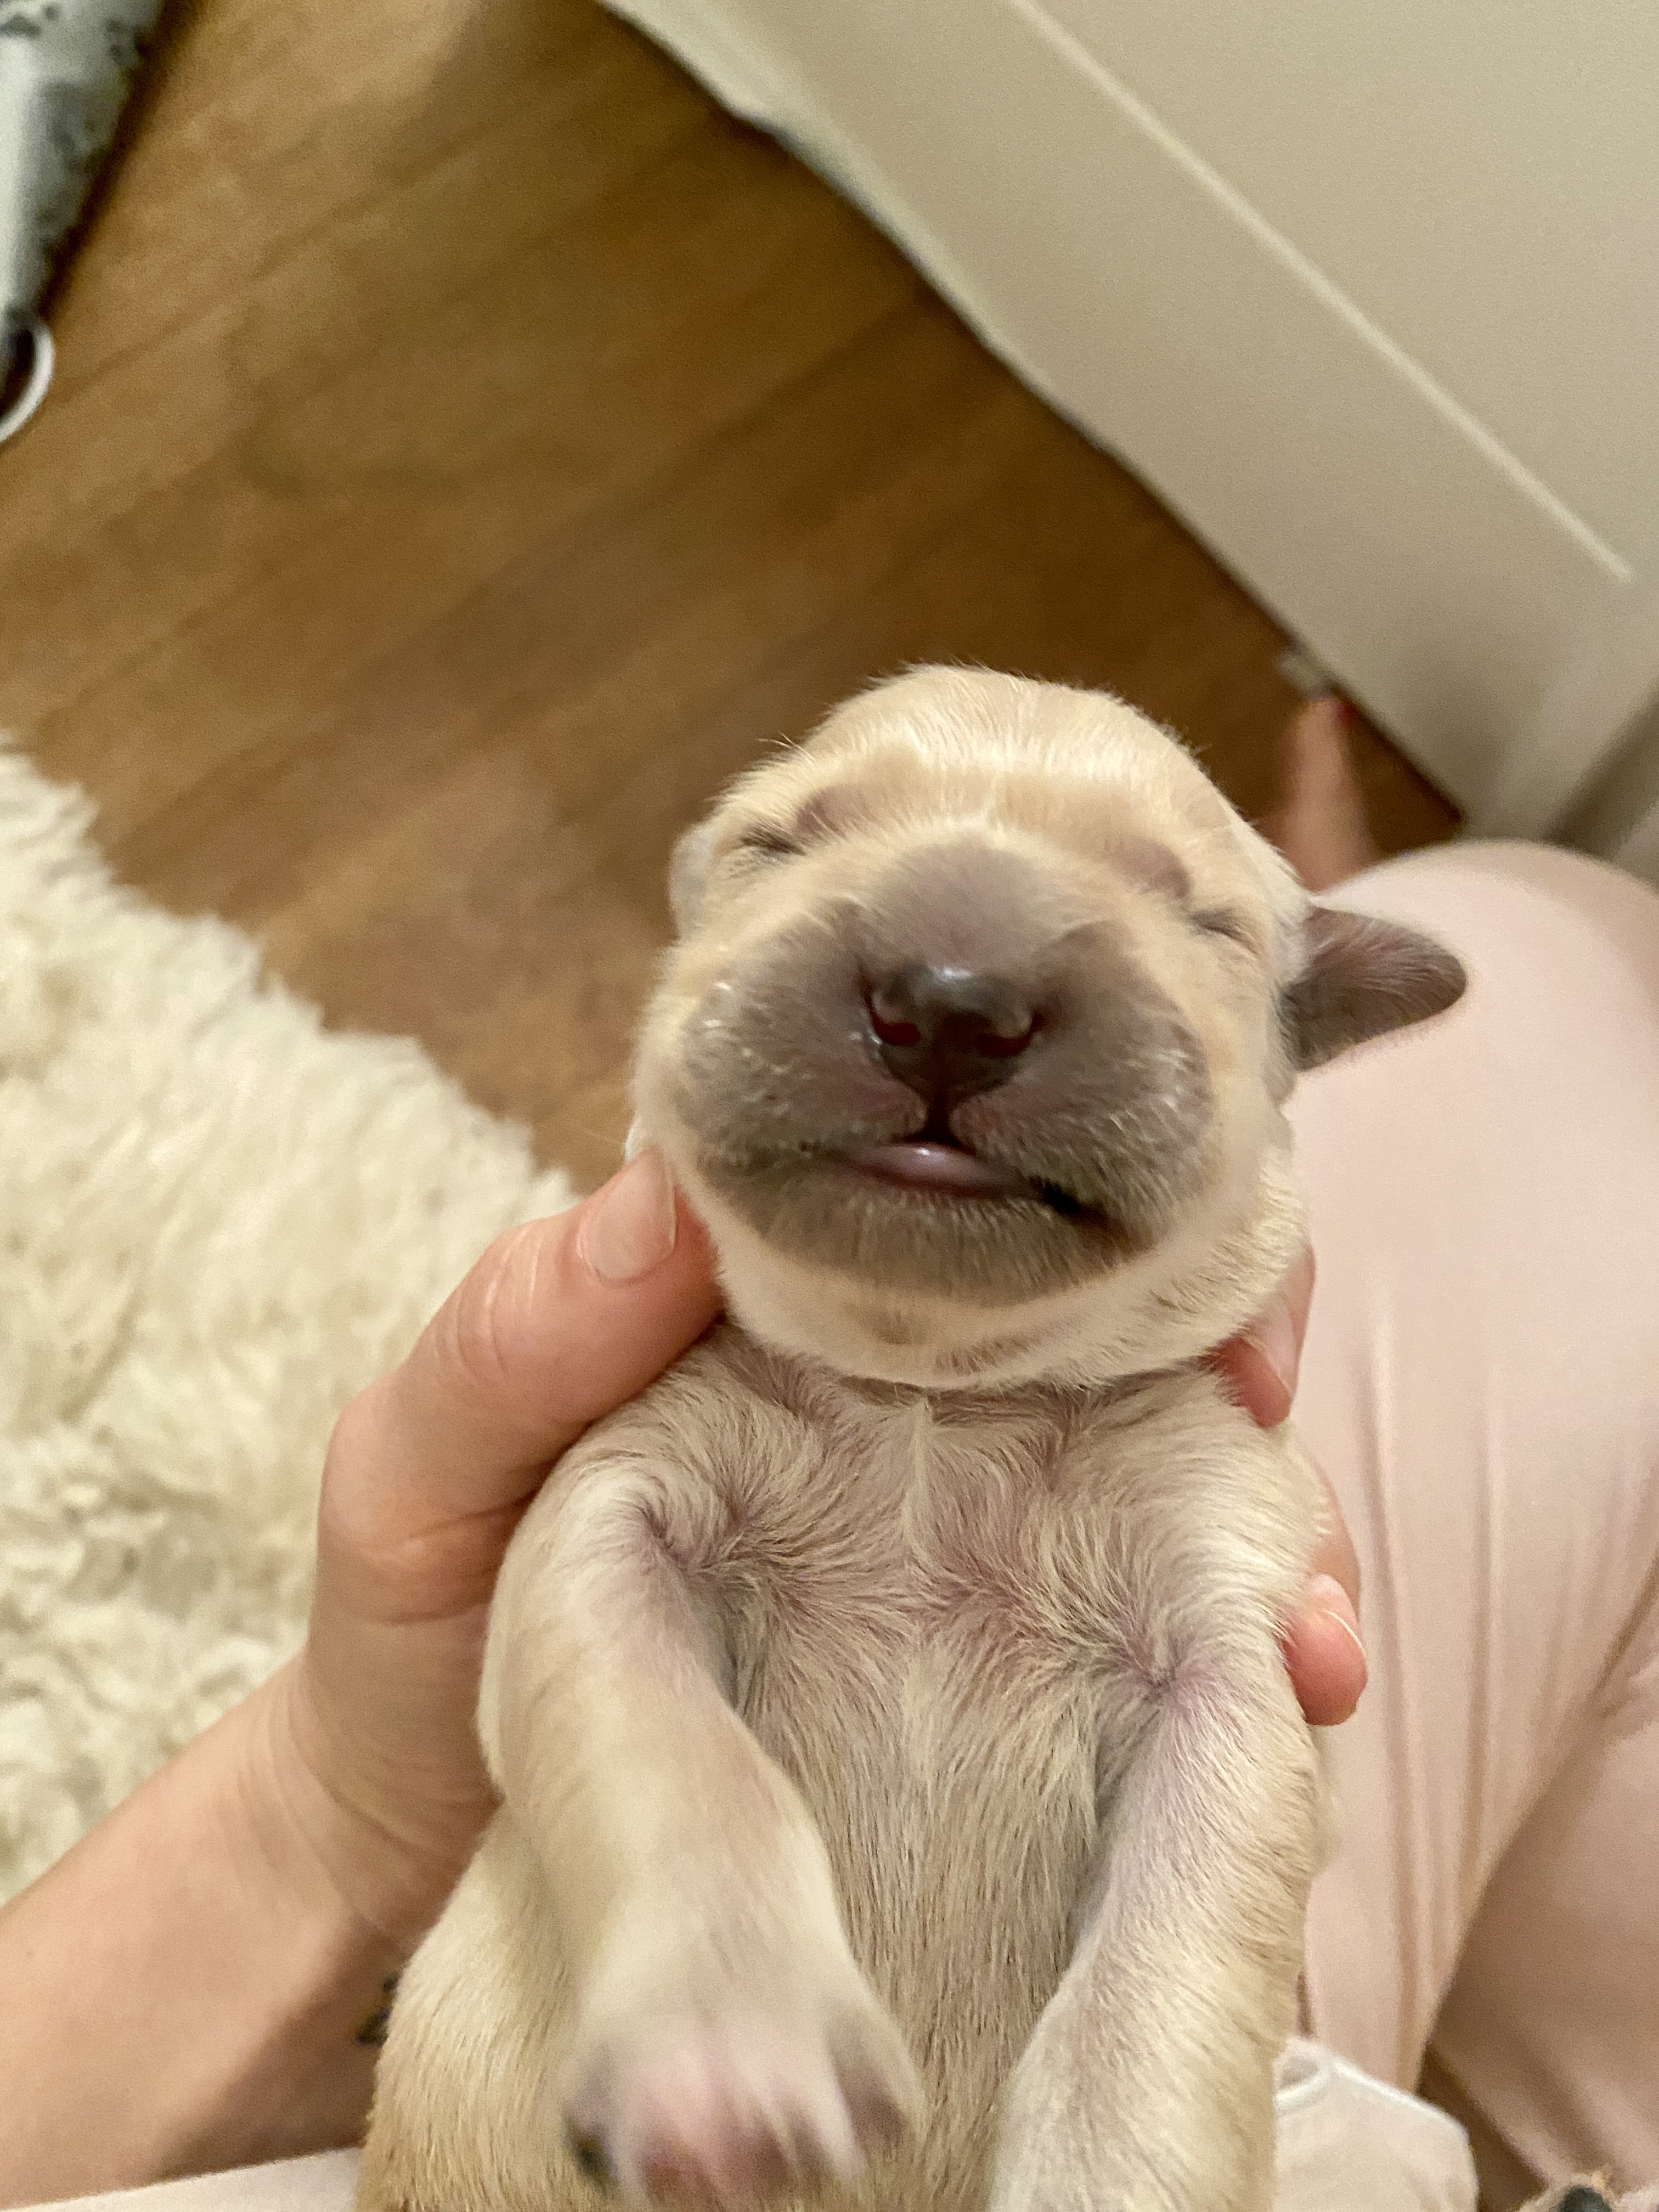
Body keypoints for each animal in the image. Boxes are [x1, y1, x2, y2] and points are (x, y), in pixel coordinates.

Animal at [356, 668, 1468, 2212]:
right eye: (779, 841)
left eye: (1201, 916)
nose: (951, 998)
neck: (933, 1397)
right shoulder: (605, 1507)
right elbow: (670, 1752)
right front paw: (737, 2062)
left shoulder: (1238, 1642)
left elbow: (1163, 1975)